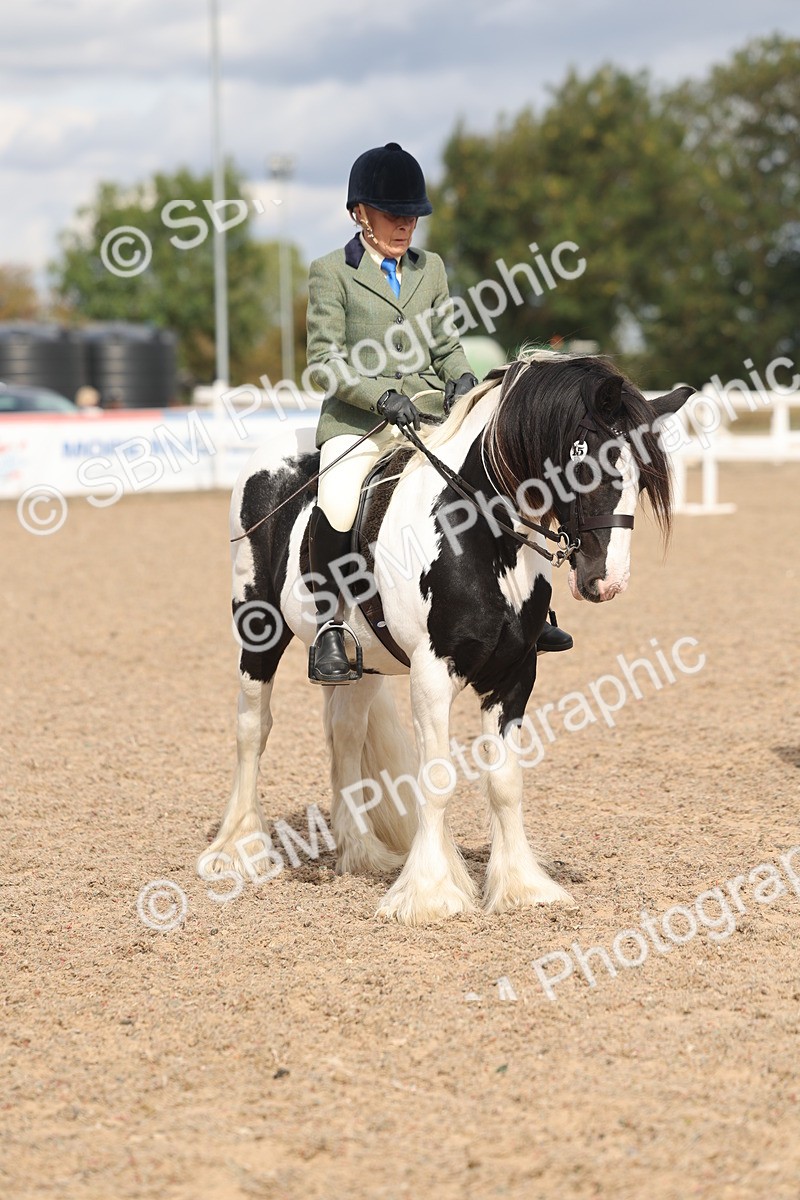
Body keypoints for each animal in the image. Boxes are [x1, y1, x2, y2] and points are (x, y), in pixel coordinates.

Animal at [198, 349, 693, 925]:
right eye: (589, 468)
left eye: (643, 479)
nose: (606, 581)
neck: (480, 532)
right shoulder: (432, 674)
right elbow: (435, 779)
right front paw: (430, 894)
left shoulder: (515, 674)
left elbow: (505, 781)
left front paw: (522, 887)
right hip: (257, 631)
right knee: (252, 729)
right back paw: (238, 851)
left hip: (361, 662)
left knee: (345, 735)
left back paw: (361, 853)